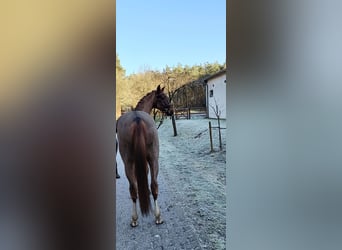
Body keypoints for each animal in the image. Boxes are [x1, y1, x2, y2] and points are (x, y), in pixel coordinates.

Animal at [116, 85, 172, 228]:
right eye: (161, 97)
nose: (171, 110)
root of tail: (137, 119)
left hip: (132, 162)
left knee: (136, 188)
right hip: (151, 159)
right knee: (151, 185)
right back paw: (153, 217)